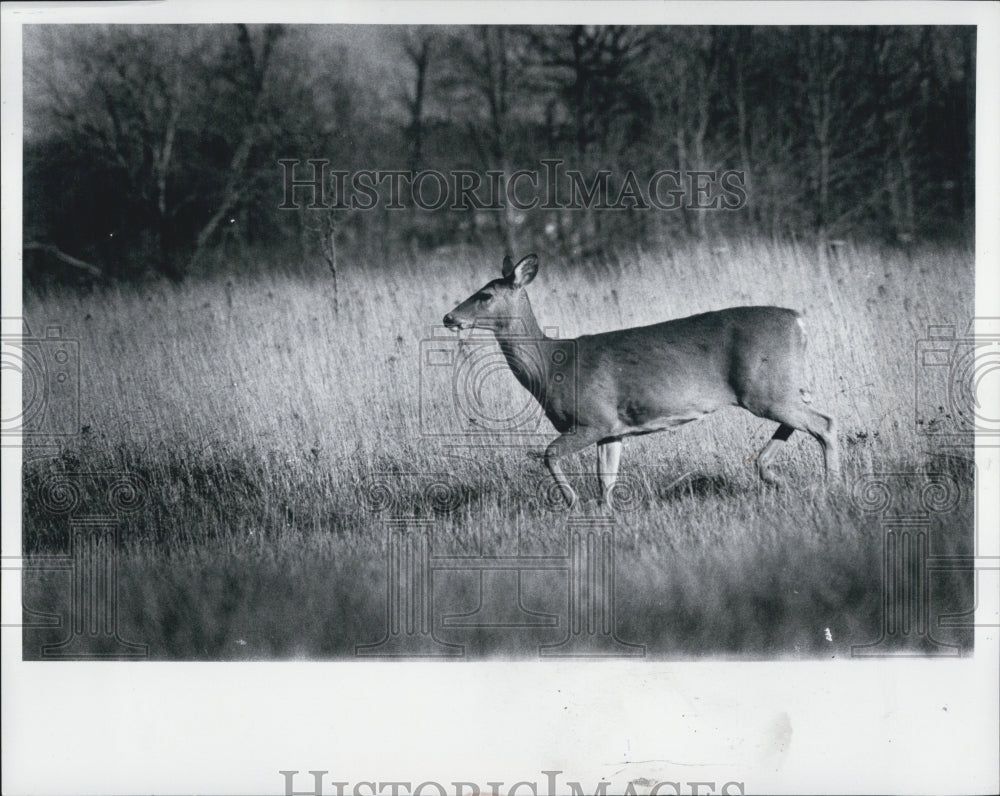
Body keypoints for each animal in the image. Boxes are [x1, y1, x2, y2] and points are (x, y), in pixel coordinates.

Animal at [442, 253, 840, 510]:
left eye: (485, 295)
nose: (449, 317)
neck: (552, 364)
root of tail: (799, 321)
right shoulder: (612, 429)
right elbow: (606, 479)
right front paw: (605, 513)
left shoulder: (592, 418)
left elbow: (549, 453)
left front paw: (570, 500)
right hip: (778, 387)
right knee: (807, 421)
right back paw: (772, 474)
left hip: (764, 389)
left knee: (825, 423)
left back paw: (830, 485)